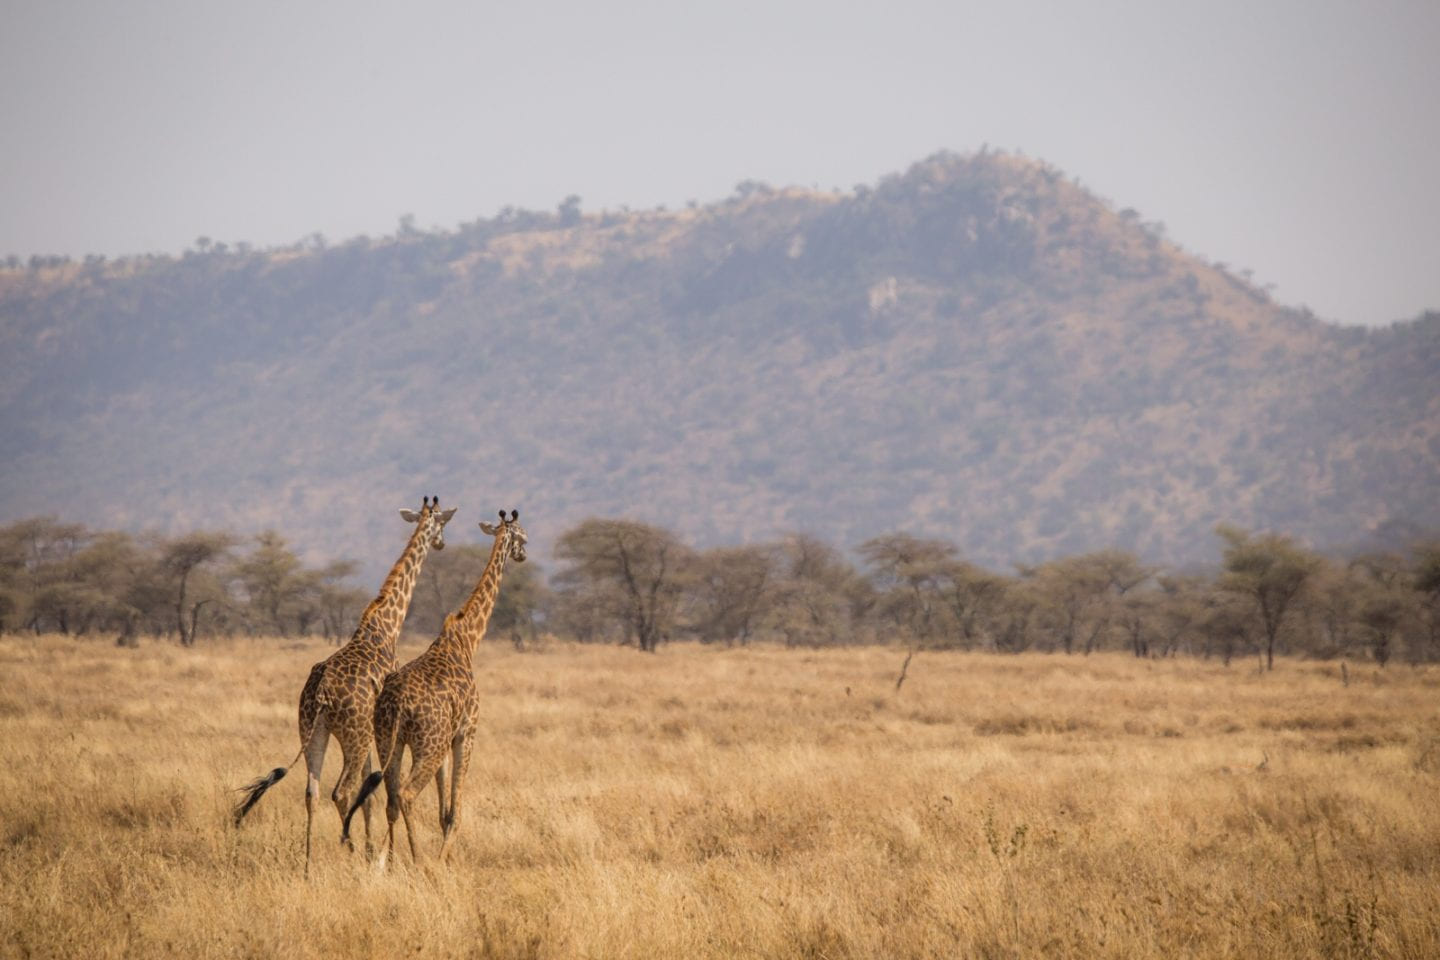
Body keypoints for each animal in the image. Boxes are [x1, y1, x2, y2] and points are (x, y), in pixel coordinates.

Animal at [233, 495, 458, 873]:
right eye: (441, 523)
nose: (442, 544)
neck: (386, 626)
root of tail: (323, 693)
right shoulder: (373, 730)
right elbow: (373, 792)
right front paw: (372, 855)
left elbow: (368, 795)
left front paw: (370, 851)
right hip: (352, 734)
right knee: (341, 790)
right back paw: (349, 849)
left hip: (312, 729)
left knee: (312, 792)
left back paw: (308, 865)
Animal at [343, 509, 527, 867]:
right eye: (522, 535)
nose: (524, 554)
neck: (467, 640)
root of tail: (397, 703)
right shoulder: (465, 732)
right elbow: (455, 811)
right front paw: (444, 861)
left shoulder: (444, 738)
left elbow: (443, 812)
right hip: (427, 744)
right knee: (406, 793)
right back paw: (419, 862)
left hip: (390, 740)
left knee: (390, 796)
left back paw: (389, 861)